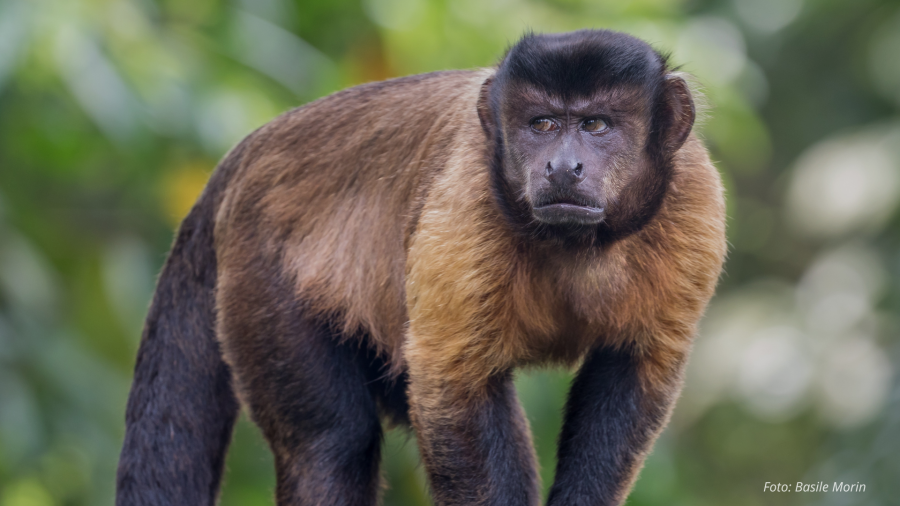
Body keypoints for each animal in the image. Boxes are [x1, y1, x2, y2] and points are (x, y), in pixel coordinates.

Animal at [116, 29, 726, 506]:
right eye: (543, 125)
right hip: (259, 267)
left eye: (597, 125)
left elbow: (633, 369)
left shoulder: (695, 199)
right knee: (331, 443)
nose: (561, 166)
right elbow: (452, 388)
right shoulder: (466, 198)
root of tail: (245, 155)